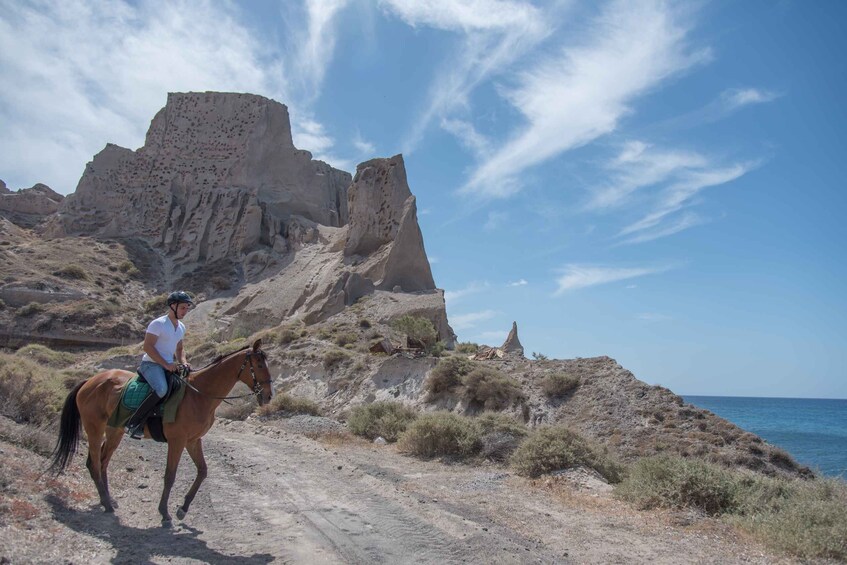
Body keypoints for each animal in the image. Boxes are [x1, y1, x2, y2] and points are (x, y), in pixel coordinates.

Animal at [48, 338, 272, 528]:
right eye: (260, 365)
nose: (269, 396)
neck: (198, 395)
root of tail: (88, 382)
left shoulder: (193, 440)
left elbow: (203, 471)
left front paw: (183, 509)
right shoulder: (177, 441)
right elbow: (170, 476)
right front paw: (165, 514)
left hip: (114, 432)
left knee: (102, 462)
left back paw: (108, 500)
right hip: (95, 429)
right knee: (94, 464)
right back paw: (107, 504)